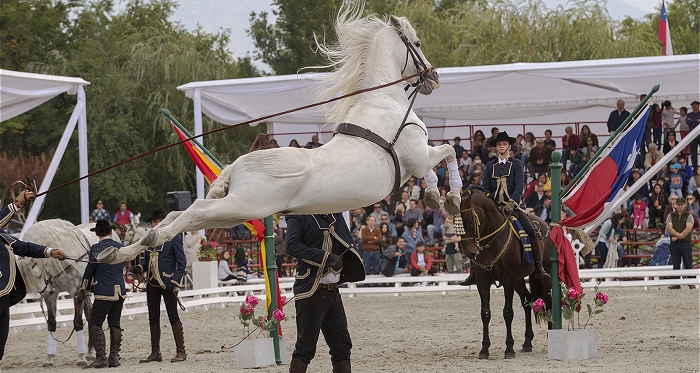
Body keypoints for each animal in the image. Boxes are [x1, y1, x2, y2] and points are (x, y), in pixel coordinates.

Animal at [98, 5, 460, 262]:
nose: (434, 78)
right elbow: (448, 151)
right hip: (243, 206)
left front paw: (433, 194)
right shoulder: (417, 156)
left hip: (233, 212)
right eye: (417, 43)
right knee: (195, 210)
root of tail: (238, 164)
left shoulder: (415, 164)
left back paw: (123, 250)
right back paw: (141, 243)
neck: (383, 101)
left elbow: (439, 160)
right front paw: (449, 197)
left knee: (179, 214)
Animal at [460, 187, 552, 358]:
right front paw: (484, 349)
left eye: (469, 221)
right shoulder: (483, 281)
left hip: (545, 275)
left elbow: (508, 312)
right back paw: (527, 342)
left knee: (548, 301)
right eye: (457, 224)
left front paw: (509, 348)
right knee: (527, 300)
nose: (469, 252)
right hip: (518, 280)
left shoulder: (507, 279)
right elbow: (485, 313)